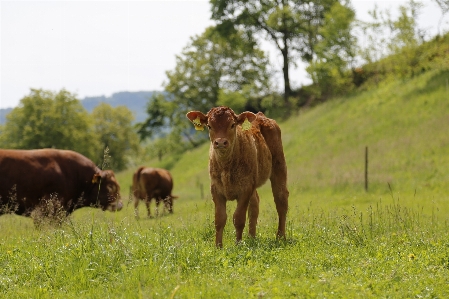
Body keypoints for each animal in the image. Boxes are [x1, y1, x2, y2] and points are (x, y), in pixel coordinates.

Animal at [186, 106, 288, 247]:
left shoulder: (245, 189)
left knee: (281, 200)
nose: (220, 142)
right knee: (255, 204)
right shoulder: (216, 189)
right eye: (209, 126)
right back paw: (251, 238)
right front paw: (218, 246)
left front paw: (238, 244)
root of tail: (260, 116)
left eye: (232, 125)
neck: (226, 167)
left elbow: (238, 218)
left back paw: (280, 237)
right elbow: (219, 219)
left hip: (279, 165)